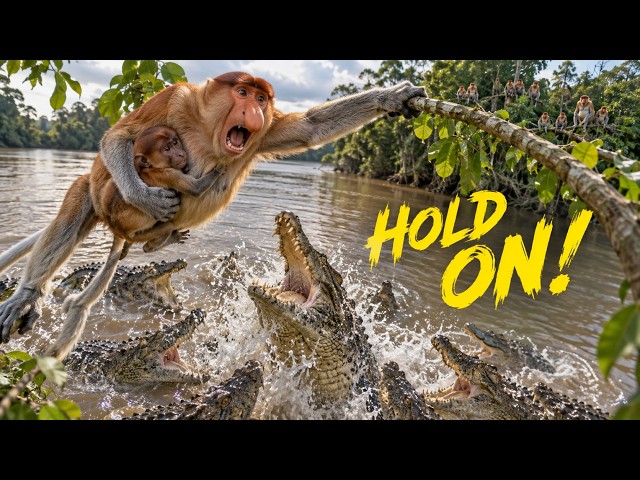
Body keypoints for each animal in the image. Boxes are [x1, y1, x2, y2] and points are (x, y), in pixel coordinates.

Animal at [92, 125, 220, 258]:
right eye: (167, 149)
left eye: (175, 142)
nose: (180, 154)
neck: (152, 168)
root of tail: (117, 229)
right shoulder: (169, 174)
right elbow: (196, 188)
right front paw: (220, 168)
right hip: (137, 235)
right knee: (167, 227)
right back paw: (151, 246)